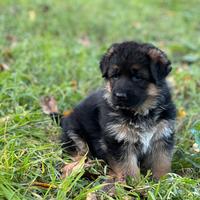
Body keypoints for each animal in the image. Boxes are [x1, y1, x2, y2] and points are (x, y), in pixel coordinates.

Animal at [41, 40, 176, 180]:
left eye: (137, 77)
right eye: (115, 76)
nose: (120, 96)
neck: (139, 112)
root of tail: (65, 117)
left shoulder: (162, 137)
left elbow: (161, 162)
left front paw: (163, 181)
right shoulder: (118, 141)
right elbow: (129, 168)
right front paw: (134, 184)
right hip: (76, 135)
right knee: (78, 152)